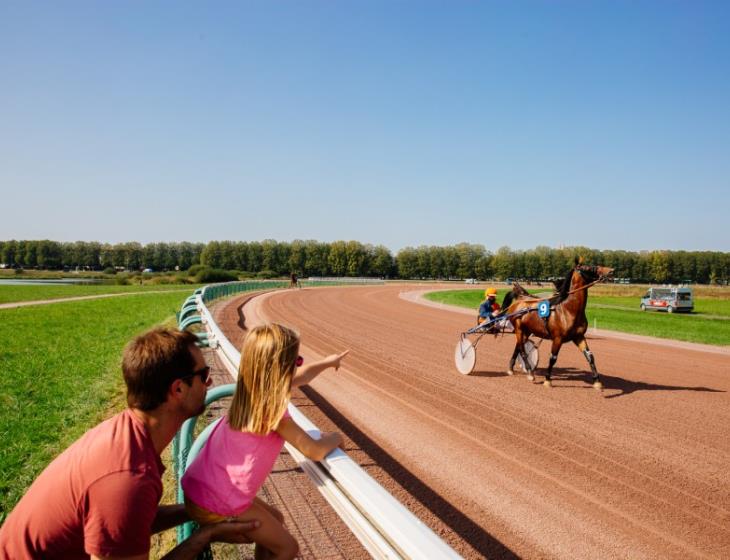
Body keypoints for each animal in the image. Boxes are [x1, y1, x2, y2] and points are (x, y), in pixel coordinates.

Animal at [498, 260, 612, 388]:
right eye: (589, 267)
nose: (610, 270)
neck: (568, 310)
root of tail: (520, 298)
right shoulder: (558, 338)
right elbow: (553, 358)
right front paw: (547, 379)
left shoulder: (579, 336)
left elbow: (590, 356)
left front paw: (597, 381)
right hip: (519, 329)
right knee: (522, 350)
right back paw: (530, 372)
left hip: (527, 331)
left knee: (518, 347)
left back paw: (511, 368)